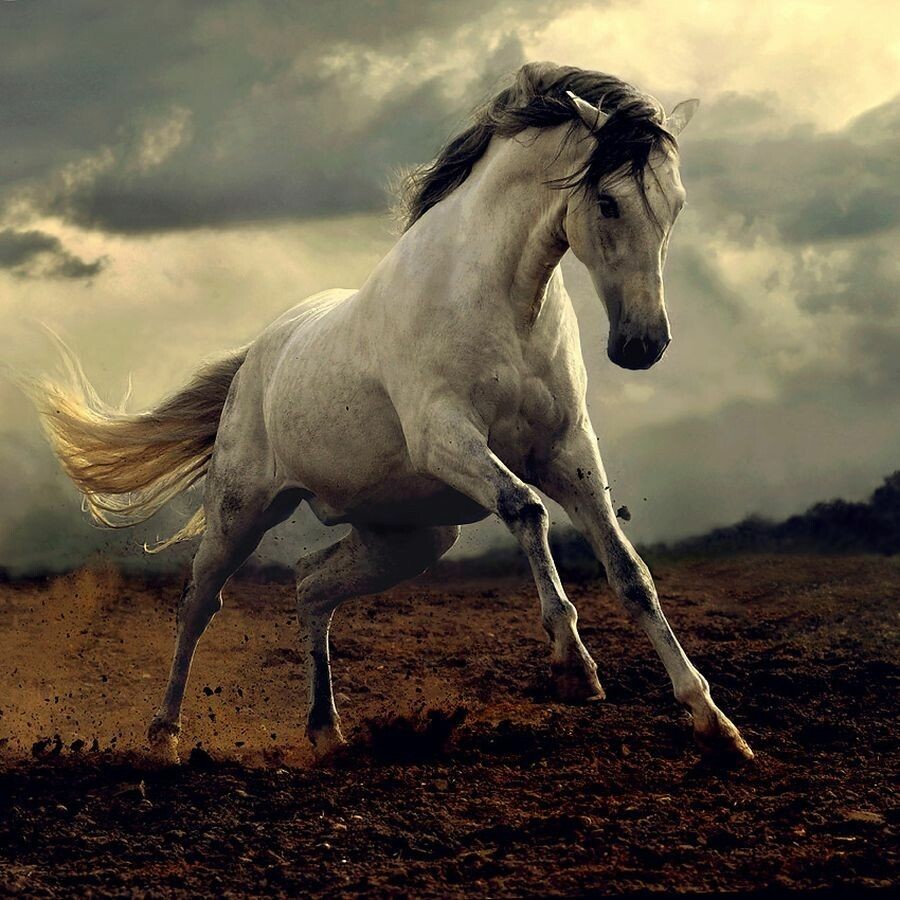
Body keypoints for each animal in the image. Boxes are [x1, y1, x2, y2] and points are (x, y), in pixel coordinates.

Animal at [26, 62, 753, 765]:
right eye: (608, 200)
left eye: (675, 205)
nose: (643, 344)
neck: (496, 300)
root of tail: (254, 357)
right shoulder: (446, 437)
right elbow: (526, 509)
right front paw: (575, 669)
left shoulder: (569, 453)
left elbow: (631, 575)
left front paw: (716, 726)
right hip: (241, 512)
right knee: (198, 602)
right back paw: (165, 737)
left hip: (408, 537)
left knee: (311, 586)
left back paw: (326, 732)